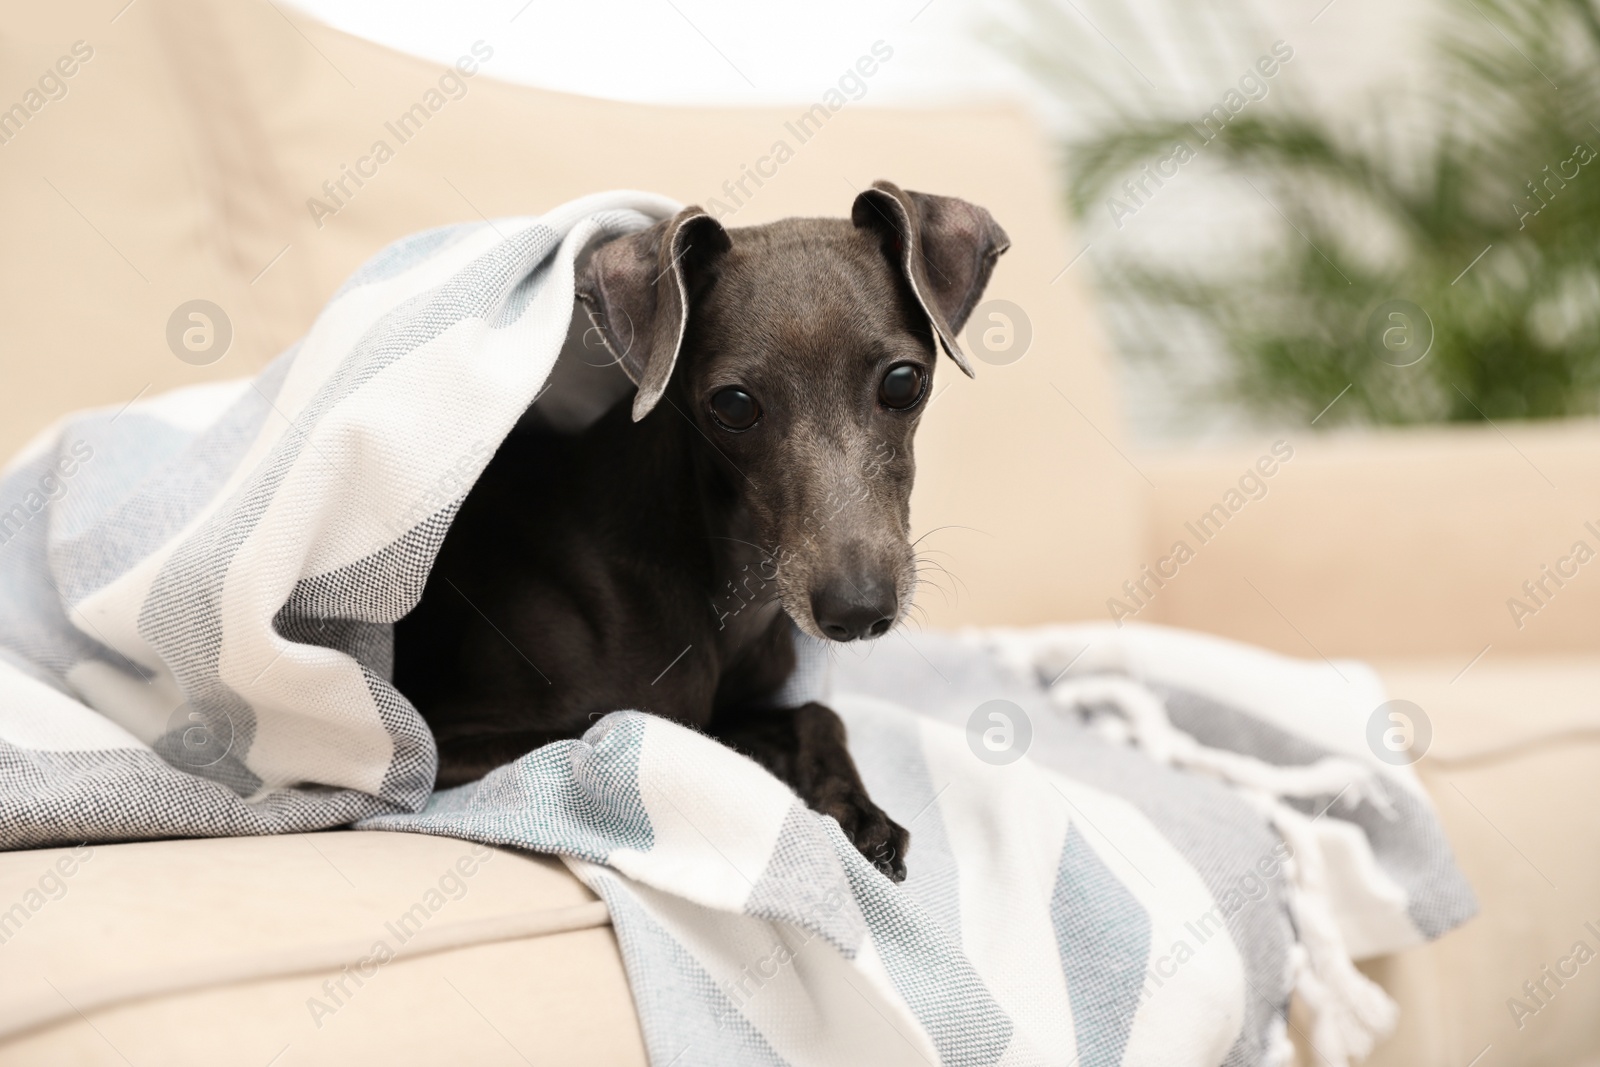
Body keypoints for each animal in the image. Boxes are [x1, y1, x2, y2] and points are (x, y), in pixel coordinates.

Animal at [393, 183, 1004, 883]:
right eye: (733, 405)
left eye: (904, 382)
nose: (857, 612)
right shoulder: (437, 744)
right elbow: (648, 723)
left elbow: (815, 712)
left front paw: (859, 812)